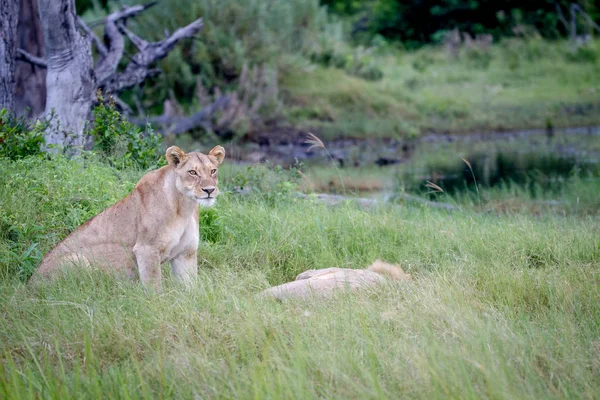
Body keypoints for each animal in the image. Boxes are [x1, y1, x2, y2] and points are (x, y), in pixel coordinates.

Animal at [32, 145, 225, 290]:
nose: (209, 190)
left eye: (213, 171)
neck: (184, 206)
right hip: (77, 260)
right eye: (192, 172)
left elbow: (191, 288)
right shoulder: (146, 249)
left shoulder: (186, 253)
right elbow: (154, 288)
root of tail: (28, 287)